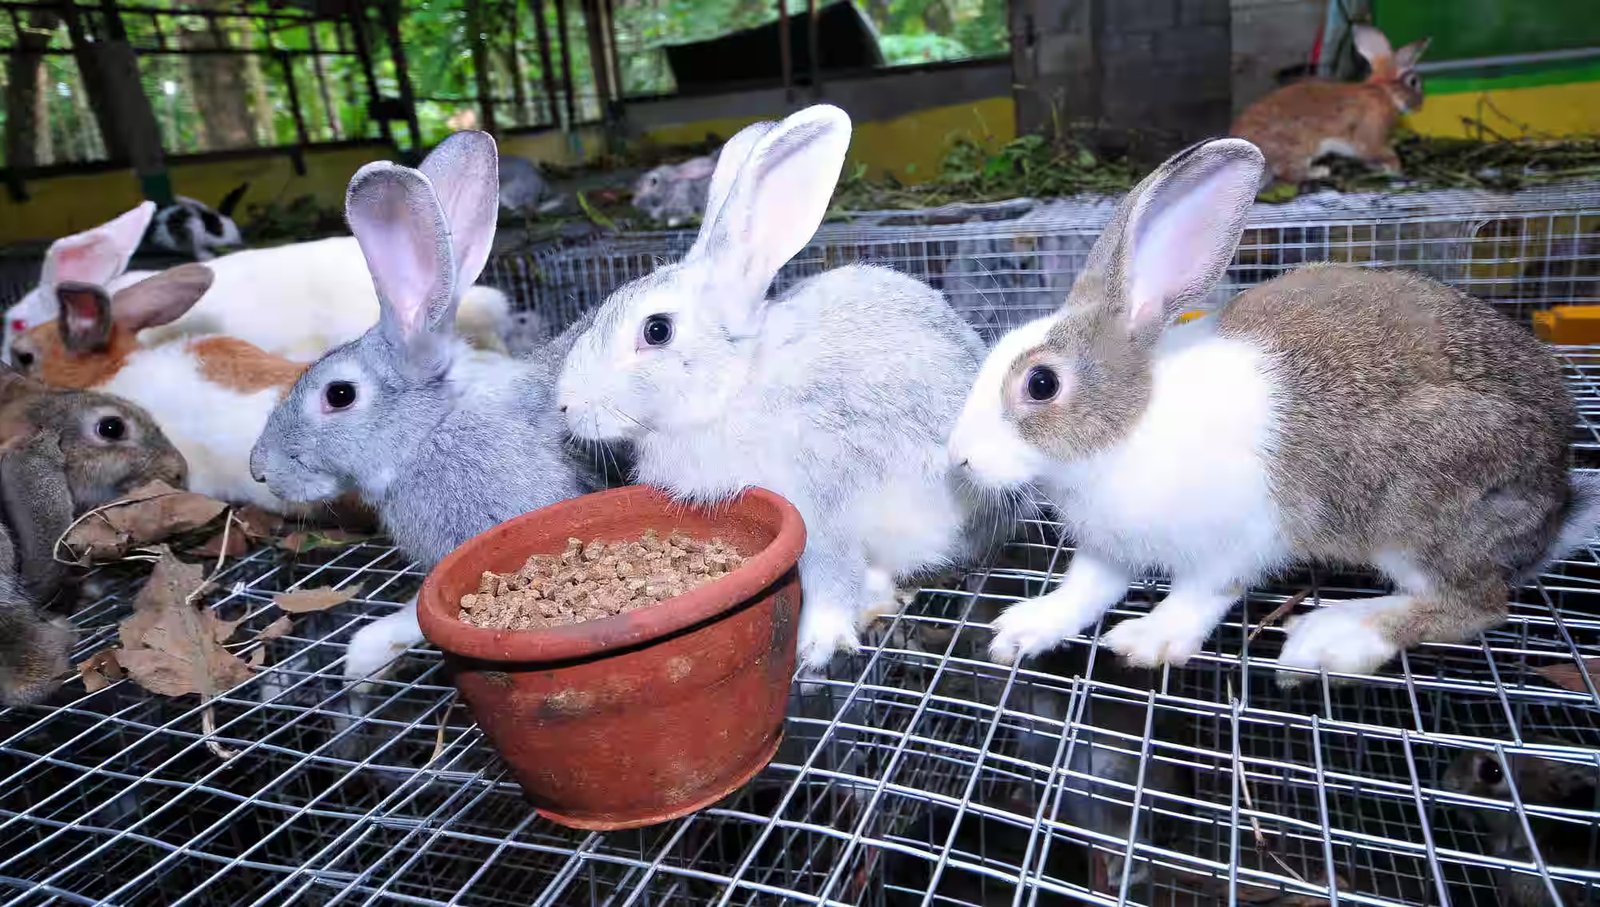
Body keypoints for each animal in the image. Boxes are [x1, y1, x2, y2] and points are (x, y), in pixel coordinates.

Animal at [558, 105, 1006, 672]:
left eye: (657, 330)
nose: (564, 404)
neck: (738, 384)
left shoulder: (823, 505)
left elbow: (830, 576)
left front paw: (816, 649)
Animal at [946, 137, 1598, 686]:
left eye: (1041, 383)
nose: (959, 459)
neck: (1127, 428)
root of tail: (1557, 502)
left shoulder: (1236, 543)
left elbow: (1200, 593)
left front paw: (1148, 640)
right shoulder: (1108, 549)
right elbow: (1085, 589)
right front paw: (1024, 628)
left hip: (1422, 511)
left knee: (1475, 605)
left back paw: (1333, 637)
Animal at [1231, 25, 1431, 186]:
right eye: (1414, 82)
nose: (1420, 106)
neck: (1385, 92)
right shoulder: (1370, 138)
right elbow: (1381, 152)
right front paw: (1395, 168)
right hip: (1301, 149)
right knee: (1290, 174)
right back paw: (1320, 172)